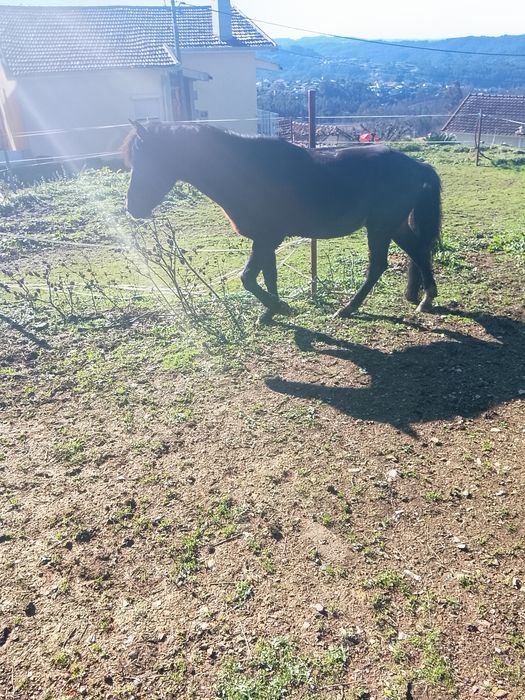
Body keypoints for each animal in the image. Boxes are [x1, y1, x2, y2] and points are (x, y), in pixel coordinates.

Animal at [124, 121, 442, 323]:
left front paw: (280, 307)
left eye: (150, 160)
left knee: (378, 266)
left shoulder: (267, 237)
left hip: (379, 226)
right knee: (418, 251)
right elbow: (268, 276)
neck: (247, 171)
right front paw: (271, 312)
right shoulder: (266, 239)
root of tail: (417, 165)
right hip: (394, 225)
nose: (132, 207)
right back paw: (426, 299)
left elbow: (248, 278)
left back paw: (348, 308)